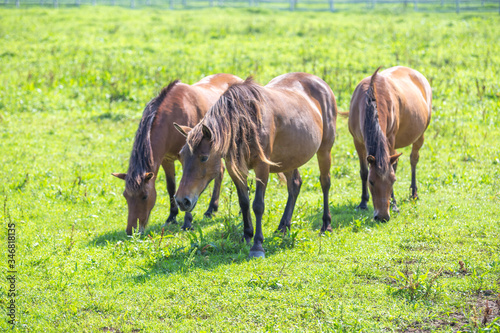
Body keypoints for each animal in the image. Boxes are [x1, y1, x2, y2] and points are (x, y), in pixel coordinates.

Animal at [111, 73, 242, 233]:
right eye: (125, 196)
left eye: (144, 196)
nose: (131, 231)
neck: (171, 118)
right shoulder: (166, 160)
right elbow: (171, 187)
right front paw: (172, 216)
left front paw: (187, 222)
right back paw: (211, 209)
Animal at [171, 73, 336, 256]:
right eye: (181, 156)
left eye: (204, 157)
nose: (181, 201)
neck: (245, 123)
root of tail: (318, 81)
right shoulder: (234, 168)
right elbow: (244, 202)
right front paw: (247, 235)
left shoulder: (262, 167)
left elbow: (258, 205)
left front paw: (257, 245)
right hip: (289, 159)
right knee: (295, 185)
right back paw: (283, 227)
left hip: (324, 150)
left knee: (325, 182)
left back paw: (326, 225)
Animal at [348, 65, 434, 220]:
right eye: (371, 181)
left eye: (393, 181)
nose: (382, 217)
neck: (371, 100)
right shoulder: (357, 141)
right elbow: (364, 171)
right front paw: (363, 202)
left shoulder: (390, 138)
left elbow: (393, 168)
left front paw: (394, 205)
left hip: (420, 135)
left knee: (413, 159)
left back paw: (414, 193)